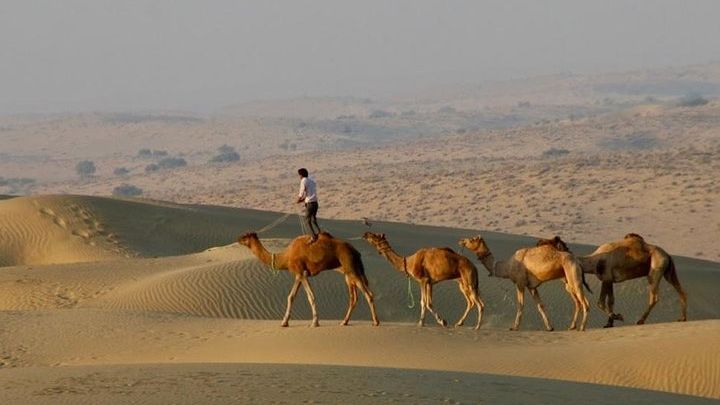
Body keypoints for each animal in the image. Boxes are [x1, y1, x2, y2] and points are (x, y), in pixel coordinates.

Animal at [238, 231, 379, 327]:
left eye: (245, 236)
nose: (238, 239)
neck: (285, 257)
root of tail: (357, 252)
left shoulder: (301, 273)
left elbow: (309, 296)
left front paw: (314, 322)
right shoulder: (299, 274)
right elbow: (291, 297)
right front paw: (284, 322)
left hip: (351, 269)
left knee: (369, 294)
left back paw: (376, 322)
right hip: (349, 273)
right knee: (354, 298)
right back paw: (344, 322)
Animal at [459, 235, 590, 331]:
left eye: (472, 239)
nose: (461, 241)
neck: (507, 267)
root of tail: (577, 261)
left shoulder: (520, 283)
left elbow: (520, 304)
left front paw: (514, 327)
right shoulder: (531, 286)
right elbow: (540, 305)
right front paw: (549, 327)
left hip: (573, 274)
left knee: (585, 302)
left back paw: (582, 327)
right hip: (567, 279)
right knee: (578, 302)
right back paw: (572, 326)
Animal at [558, 233, 687, 328]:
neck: (594, 261)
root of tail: (668, 255)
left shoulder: (606, 278)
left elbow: (600, 302)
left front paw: (618, 317)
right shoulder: (610, 280)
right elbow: (610, 301)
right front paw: (609, 323)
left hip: (655, 270)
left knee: (654, 297)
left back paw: (640, 321)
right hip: (668, 272)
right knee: (681, 291)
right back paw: (682, 318)